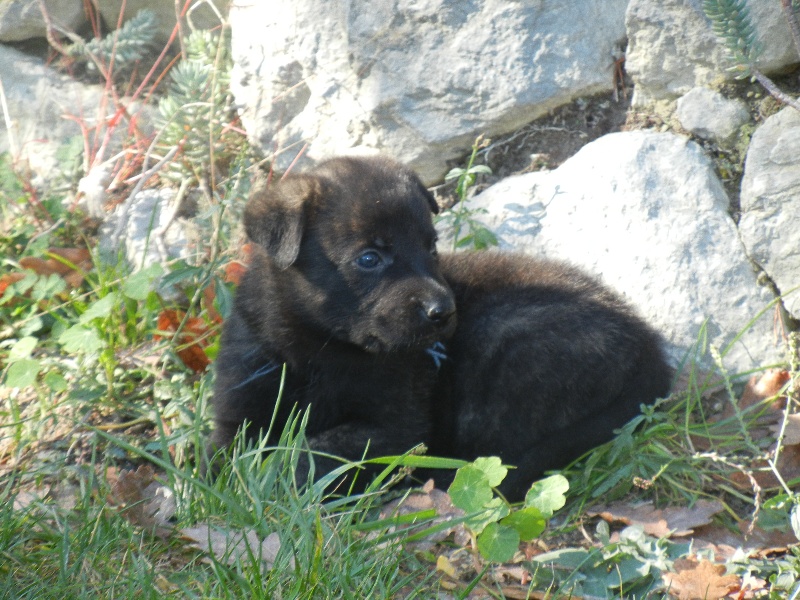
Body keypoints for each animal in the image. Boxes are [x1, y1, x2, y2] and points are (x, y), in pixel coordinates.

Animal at [209, 156, 673, 500]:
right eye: (369, 258)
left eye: (431, 246)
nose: (443, 312)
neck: (317, 349)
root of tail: (649, 351)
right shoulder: (238, 410)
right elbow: (223, 455)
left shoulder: (398, 428)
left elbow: (312, 451)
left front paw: (278, 478)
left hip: (505, 345)